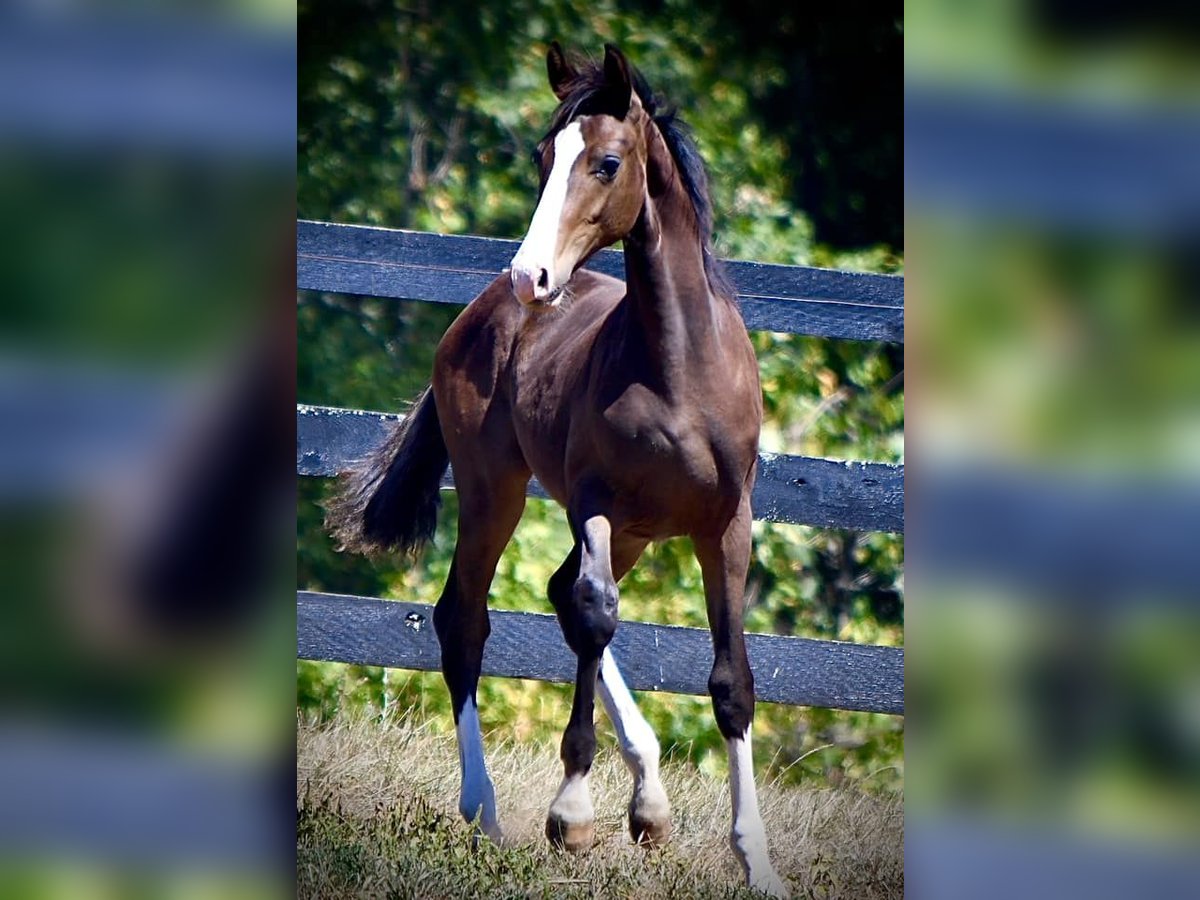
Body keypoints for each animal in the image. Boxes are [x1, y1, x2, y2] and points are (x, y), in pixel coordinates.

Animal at [328, 40, 787, 897]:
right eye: (544, 158)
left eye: (606, 162)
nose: (531, 277)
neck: (679, 370)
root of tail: (477, 314)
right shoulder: (593, 503)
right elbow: (595, 615)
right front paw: (571, 816)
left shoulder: (726, 523)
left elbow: (729, 681)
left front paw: (758, 862)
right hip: (495, 491)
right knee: (469, 618)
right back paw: (488, 812)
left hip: (635, 530)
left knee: (555, 598)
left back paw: (650, 803)